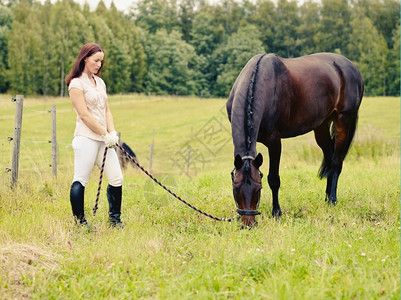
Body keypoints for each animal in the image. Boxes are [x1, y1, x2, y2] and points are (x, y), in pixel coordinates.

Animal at [228, 52, 362, 226]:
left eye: (258, 188)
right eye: (236, 188)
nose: (248, 224)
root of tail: (352, 67)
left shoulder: (274, 141)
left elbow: (274, 179)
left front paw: (276, 212)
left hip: (343, 121)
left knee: (336, 163)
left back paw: (332, 200)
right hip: (322, 126)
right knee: (329, 157)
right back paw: (326, 198)